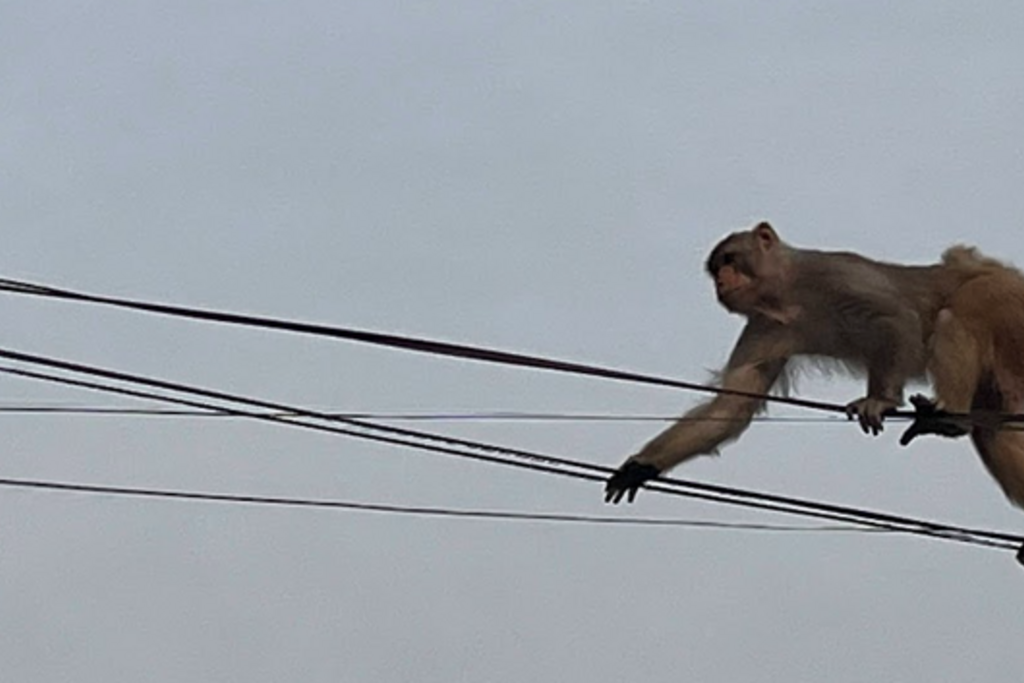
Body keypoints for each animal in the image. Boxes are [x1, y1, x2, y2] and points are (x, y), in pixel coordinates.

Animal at [604, 221, 1024, 511]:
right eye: (716, 267)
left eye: (730, 259)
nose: (721, 280)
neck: (789, 295)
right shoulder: (764, 327)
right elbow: (731, 407)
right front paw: (639, 467)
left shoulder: (832, 273)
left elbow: (898, 318)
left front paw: (881, 399)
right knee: (992, 428)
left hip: (1003, 294)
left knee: (960, 309)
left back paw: (947, 416)